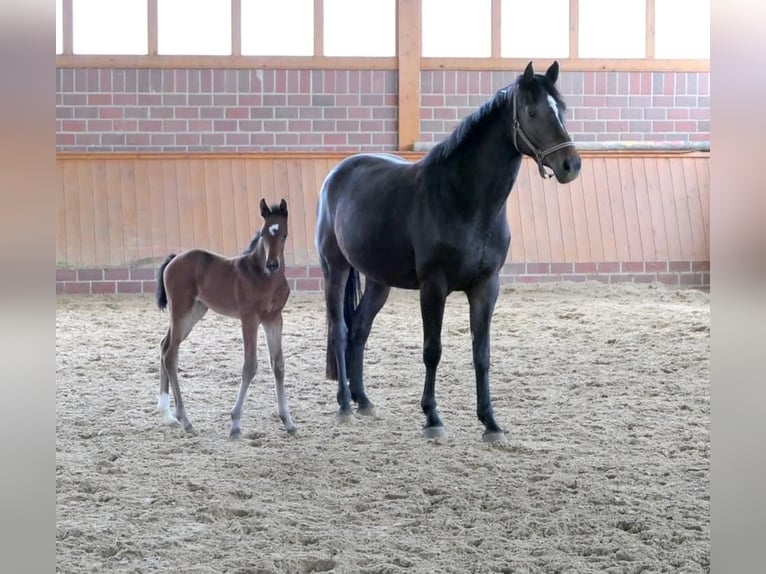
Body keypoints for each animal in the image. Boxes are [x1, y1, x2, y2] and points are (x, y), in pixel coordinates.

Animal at [156, 200, 296, 438]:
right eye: (263, 234)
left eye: (284, 234)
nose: (272, 264)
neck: (263, 277)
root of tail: (174, 259)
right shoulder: (249, 318)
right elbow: (250, 366)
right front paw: (235, 424)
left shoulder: (274, 318)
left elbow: (278, 365)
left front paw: (288, 422)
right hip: (181, 310)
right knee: (170, 354)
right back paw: (185, 420)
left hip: (195, 312)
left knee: (165, 345)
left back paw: (167, 415)